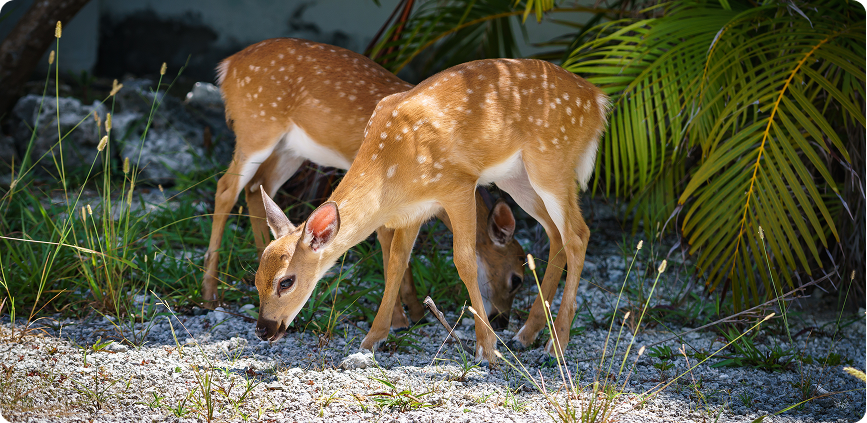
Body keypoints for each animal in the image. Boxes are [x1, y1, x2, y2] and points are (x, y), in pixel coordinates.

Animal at [204, 38, 525, 331]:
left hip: (290, 149)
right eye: (516, 280)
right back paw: (210, 293)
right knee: (225, 187)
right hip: (256, 128)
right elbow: (389, 245)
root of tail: (227, 65)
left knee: (258, 187)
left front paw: (415, 312)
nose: (502, 320)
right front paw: (400, 318)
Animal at [255, 58, 610, 363]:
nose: (263, 329)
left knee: (578, 234)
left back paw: (556, 345)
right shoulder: (414, 211)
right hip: (517, 178)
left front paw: (487, 348)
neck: (391, 170)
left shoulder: (458, 186)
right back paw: (526, 334)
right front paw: (373, 339)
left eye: (286, 282)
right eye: (256, 279)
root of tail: (598, 100)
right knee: (556, 234)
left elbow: (464, 262)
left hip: (552, 164)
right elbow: (396, 263)